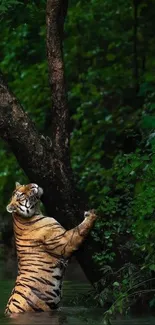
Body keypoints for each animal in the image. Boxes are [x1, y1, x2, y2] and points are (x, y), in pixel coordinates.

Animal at [4, 181, 97, 312]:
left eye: (25, 185)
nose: (33, 185)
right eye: (21, 194)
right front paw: (91, 215)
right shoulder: (65, 240)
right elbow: (79, 230)